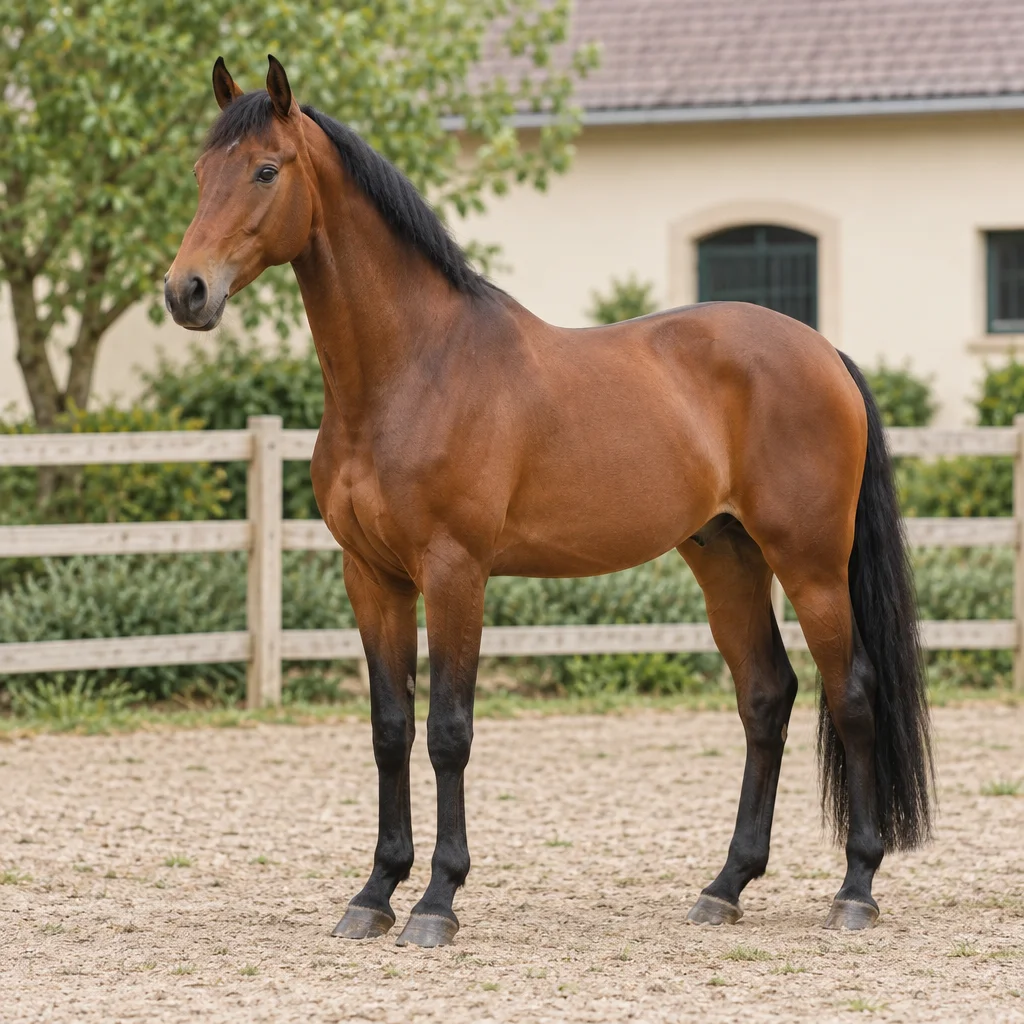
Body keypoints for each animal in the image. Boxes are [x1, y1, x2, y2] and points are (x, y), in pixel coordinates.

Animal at [165, 55, 932, 948]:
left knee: (854, 695)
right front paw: (374, 892)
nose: (186, 292)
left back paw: (856, 887)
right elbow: (391, 729)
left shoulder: (455, 573)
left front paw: (437, 900)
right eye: (199, 173)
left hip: (810, 564)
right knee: (767, 698)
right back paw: (726, 886)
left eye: (265, 170)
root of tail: (823, 351)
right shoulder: (372, 577)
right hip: (727, 558)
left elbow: (449, 732)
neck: (412, 369)